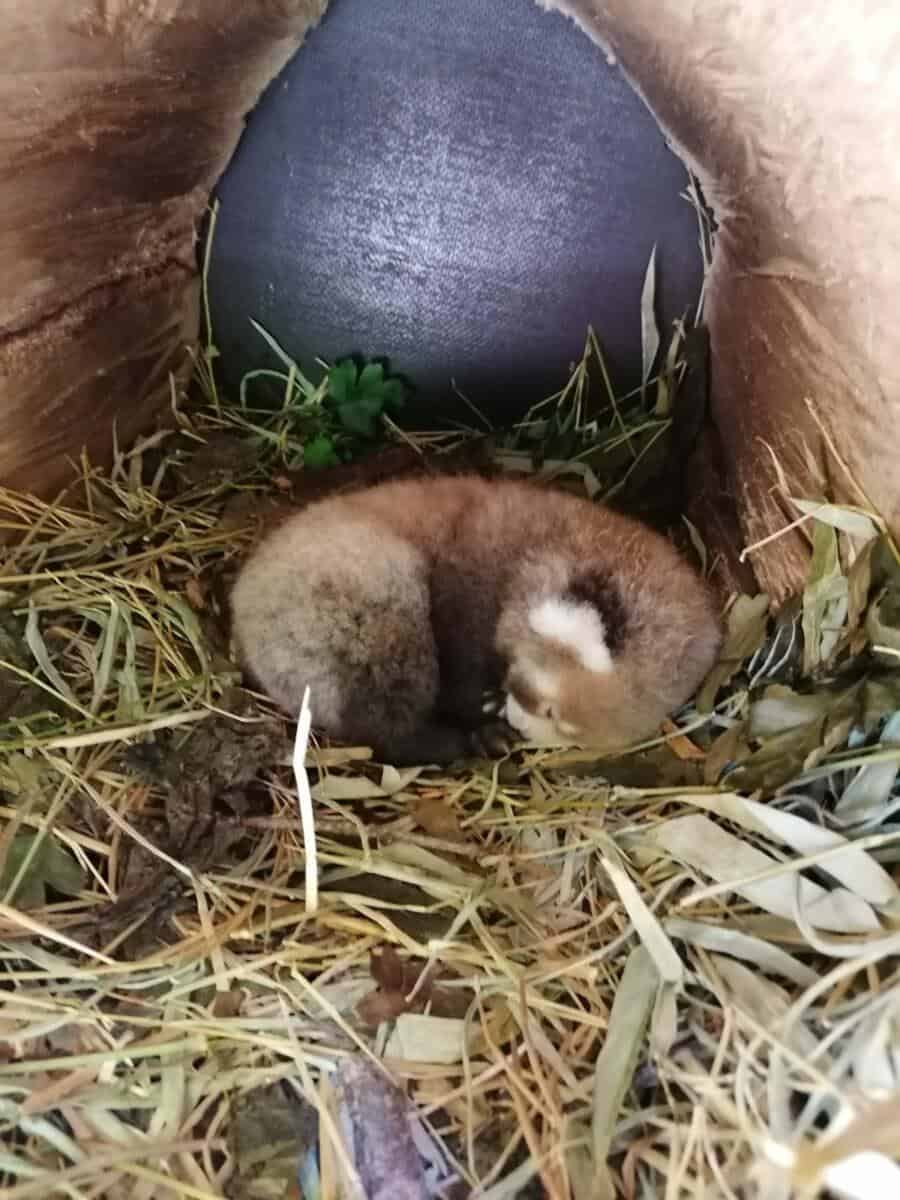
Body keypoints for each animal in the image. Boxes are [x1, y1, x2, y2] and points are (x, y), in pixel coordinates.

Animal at [229, 474, 722, 765]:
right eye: (547, 708)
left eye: (564, 730)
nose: (519, 725)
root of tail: (242, 603)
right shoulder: (465, 586)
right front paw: (482, 716)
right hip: (362, 598)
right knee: (382, 716)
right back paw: (447, 742)